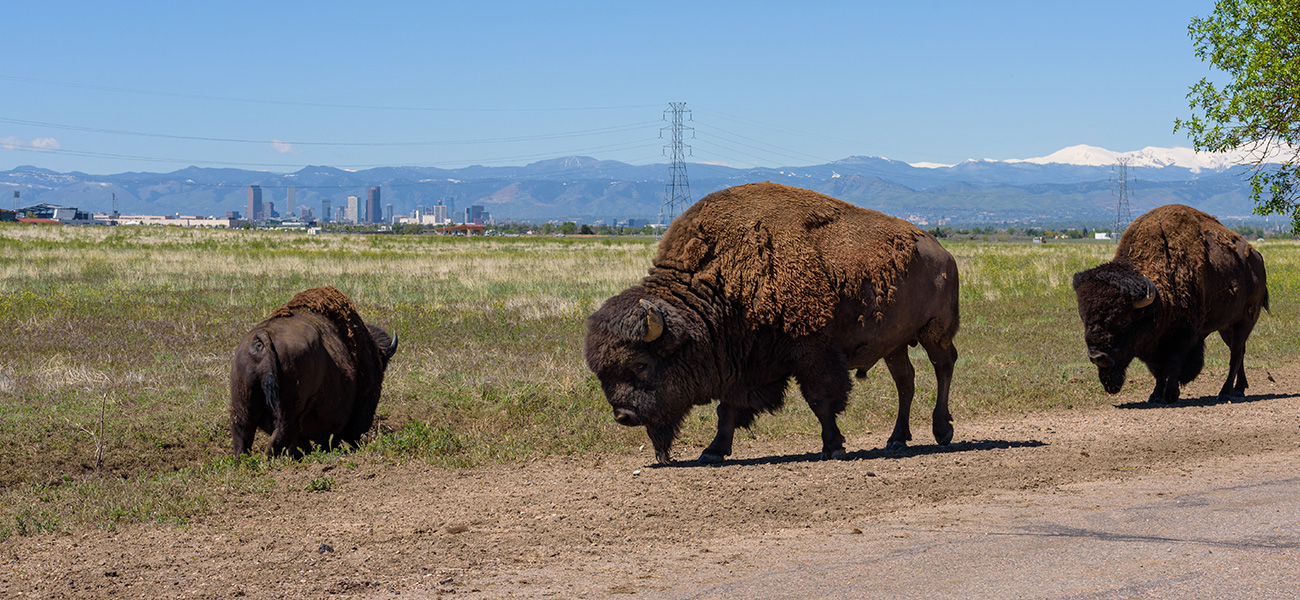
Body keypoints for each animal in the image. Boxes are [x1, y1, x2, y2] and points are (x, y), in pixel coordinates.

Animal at [585, 182, 960, 463]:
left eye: (642, 364)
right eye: (602, 371)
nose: (624, 416)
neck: (724, 278)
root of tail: (942, 252)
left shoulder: (811, 348)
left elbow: (821, 399)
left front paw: (833, 447)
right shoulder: (742, 361)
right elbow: (728, 408)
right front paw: (713, 451)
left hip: (935, 330)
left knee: (943, 364)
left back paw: (942, 431)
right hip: (894, 342)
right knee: (906, 381)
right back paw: (896, 439)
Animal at [1073, 204, 1268, 403]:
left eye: (1123, 320)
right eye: (1084, 319)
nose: (1097, 356)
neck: (1157, 299)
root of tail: (1257, 257)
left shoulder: (1185, 336)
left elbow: (1174, 364)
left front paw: (1171, 394)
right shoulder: (1154, 344)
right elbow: (1158, 371)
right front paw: (1155, 396)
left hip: (1244, 321)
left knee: (1236, 353)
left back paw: (1225, 392)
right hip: (1226, 326)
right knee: (1240, 351)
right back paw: (1239, 389)